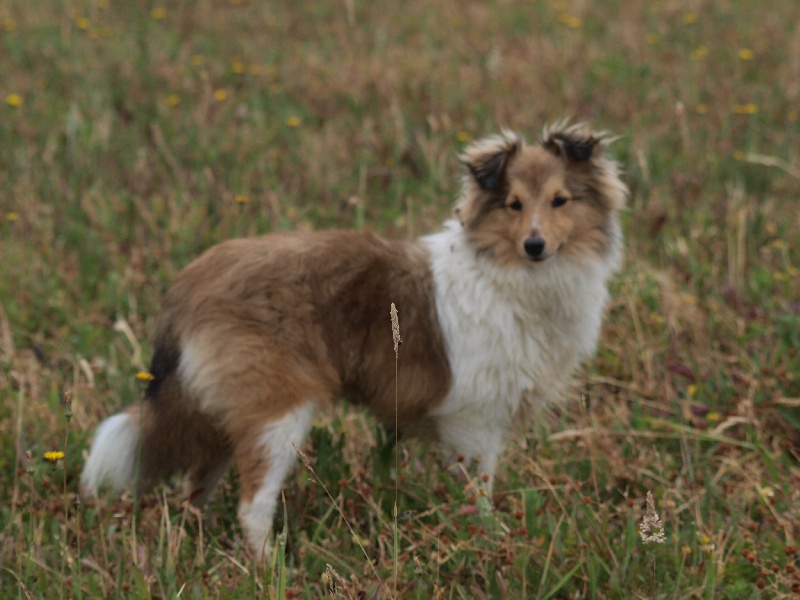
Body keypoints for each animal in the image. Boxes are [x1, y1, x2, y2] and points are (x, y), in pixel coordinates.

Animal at [79, 120, 624, 556]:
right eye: (513, 204)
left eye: (560, 200)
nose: (535, 245)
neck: (509, 275)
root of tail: (190, 283)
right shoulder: (474, 422)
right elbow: (479, 495)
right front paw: (489, 542)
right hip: (277, 412)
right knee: (252, 506)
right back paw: (270, 567)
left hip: (224, 412)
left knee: (195, 487)